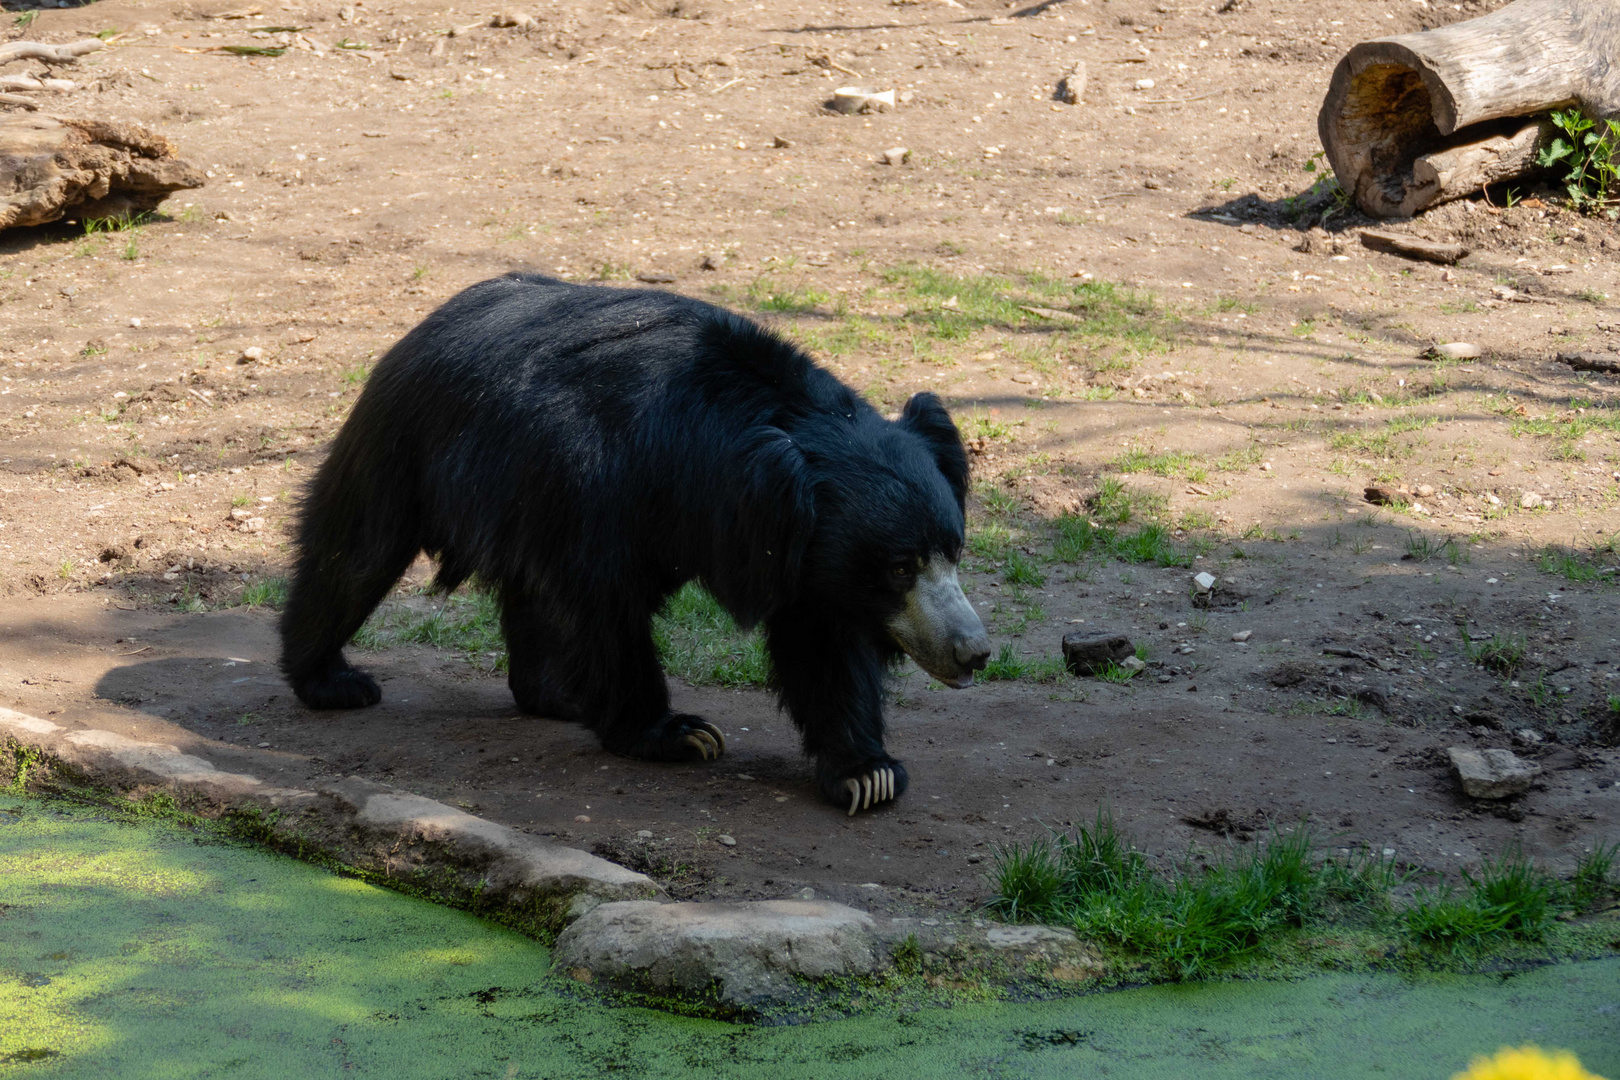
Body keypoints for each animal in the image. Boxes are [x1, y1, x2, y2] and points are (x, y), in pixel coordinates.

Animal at [281, 275, 984, 816]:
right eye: (900, 567)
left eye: (952, 552)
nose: (974, 652)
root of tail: (431, 319)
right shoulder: (601, 487)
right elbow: (606, 605)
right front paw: (679, 735)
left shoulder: (801, 554)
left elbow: (822, 644)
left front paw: (867, 773)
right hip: (406, 443)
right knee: (357, 552)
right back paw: (332, 681)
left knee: (526, 590)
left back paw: (556, 695)